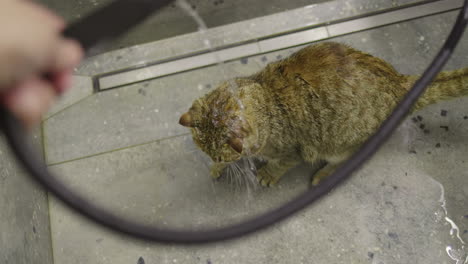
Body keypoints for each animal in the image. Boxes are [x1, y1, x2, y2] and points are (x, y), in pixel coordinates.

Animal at [178, 41, 468, 186]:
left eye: (218, 153)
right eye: (207, 152)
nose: (213, 158)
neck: (265, 98)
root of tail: (399, 82)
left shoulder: (292, 151)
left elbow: (280, 163)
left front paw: (267, 173)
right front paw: (219, 167)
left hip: (341, 142)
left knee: (347, 158)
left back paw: (325, 173)